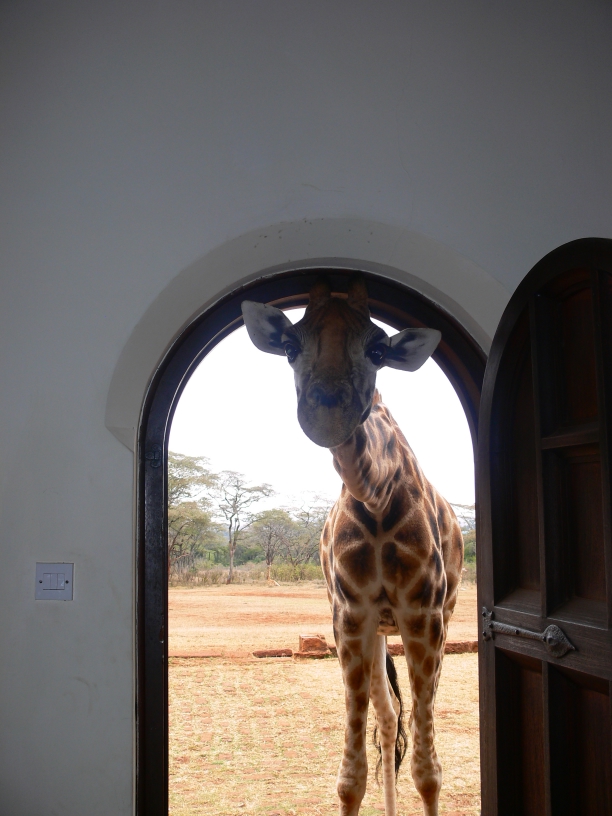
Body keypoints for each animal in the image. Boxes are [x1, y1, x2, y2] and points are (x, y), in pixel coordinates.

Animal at [241, 276, 464, 816]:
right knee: (388, 718)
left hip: (440, 618)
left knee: (413, 723)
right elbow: (350, 778)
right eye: (289, 345)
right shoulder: (349, 614)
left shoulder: (423, 613)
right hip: (378, 629)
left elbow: (429, 772)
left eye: (378, 349)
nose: (328, 413)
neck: (375, 492)